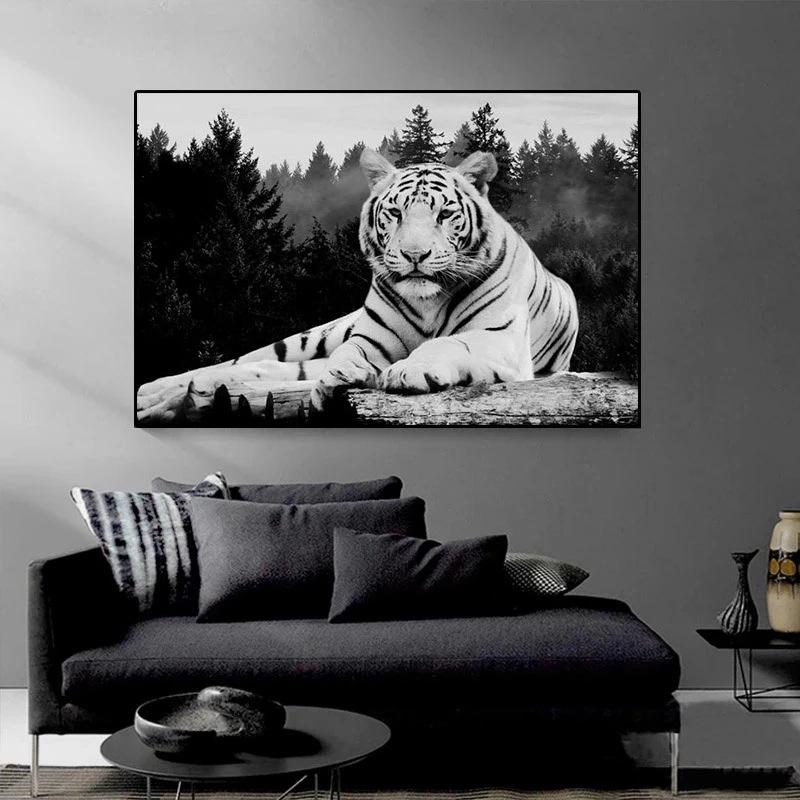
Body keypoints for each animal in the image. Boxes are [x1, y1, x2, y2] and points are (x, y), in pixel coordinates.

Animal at [136, 148, 579, 423]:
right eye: (396, 213)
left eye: (445, 214)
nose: (415, 255)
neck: (429, 301)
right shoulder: (371, 339)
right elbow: (348, 355)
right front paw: (339, 381)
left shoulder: (499, 338)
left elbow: (450, 343)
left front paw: (408, 371)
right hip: (314, 336)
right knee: (247, 362)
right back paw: (155, 393)